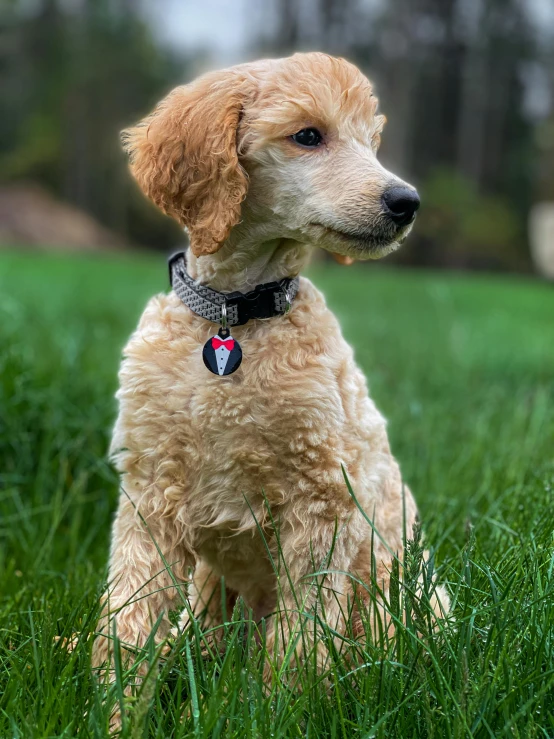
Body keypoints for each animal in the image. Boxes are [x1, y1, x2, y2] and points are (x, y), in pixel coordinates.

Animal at [92, 52, 446, 684]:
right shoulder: (150, 491)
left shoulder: (323, 501)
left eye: (371, 142)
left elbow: (301, 638)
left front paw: (282, 699)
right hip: (211, 585)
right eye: (308, 136)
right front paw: (114, 701)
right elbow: (130, 617)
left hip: (401, 594)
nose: (406, 202)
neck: (236, 315)